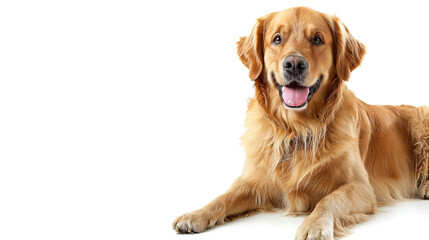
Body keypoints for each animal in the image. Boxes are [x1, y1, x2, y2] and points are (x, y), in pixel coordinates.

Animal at [171, 6, 428, 239]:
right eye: (277, 39)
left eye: (317, 39)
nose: (294, 64)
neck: (296, 129)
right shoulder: (256, 181)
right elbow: (225, 196)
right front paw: (196, 214)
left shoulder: (361, 188)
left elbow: (329, 199)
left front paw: (315, 225)